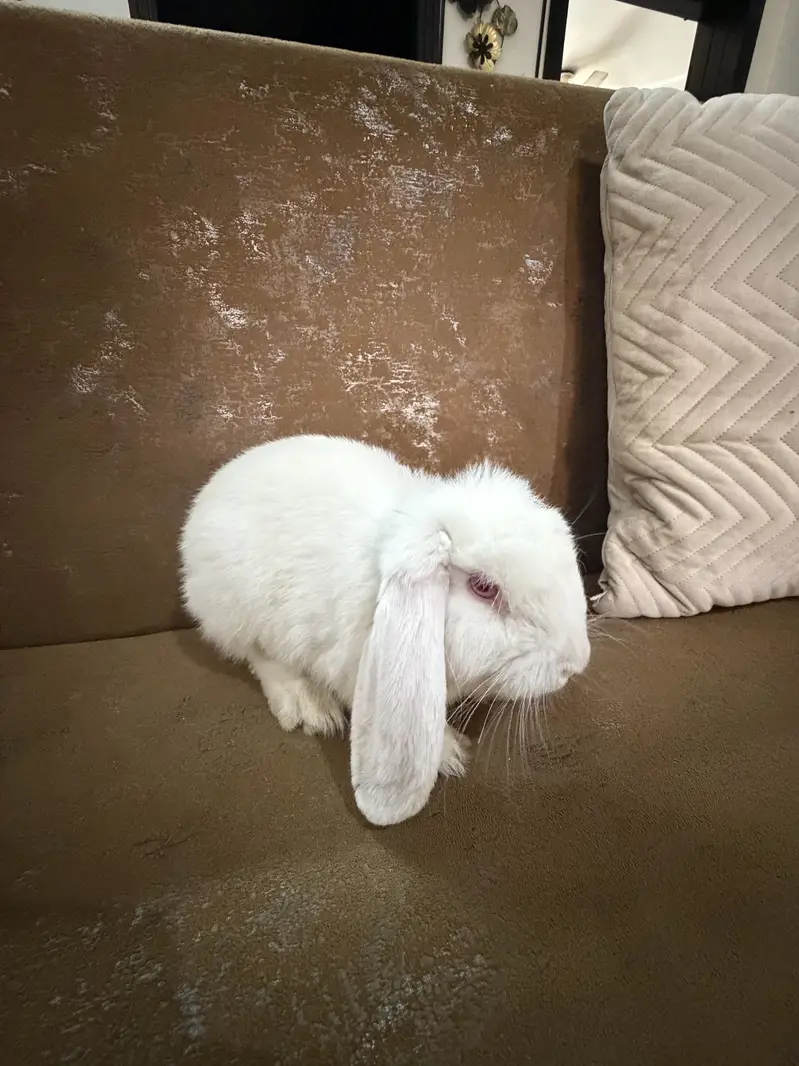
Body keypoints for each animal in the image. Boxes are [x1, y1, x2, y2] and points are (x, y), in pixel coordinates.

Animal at [179, 434, 590, 826]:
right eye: (484, 587)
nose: (575, 663)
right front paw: (450, 754)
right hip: (239, 610)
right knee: (260, 656)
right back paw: (309, 706)